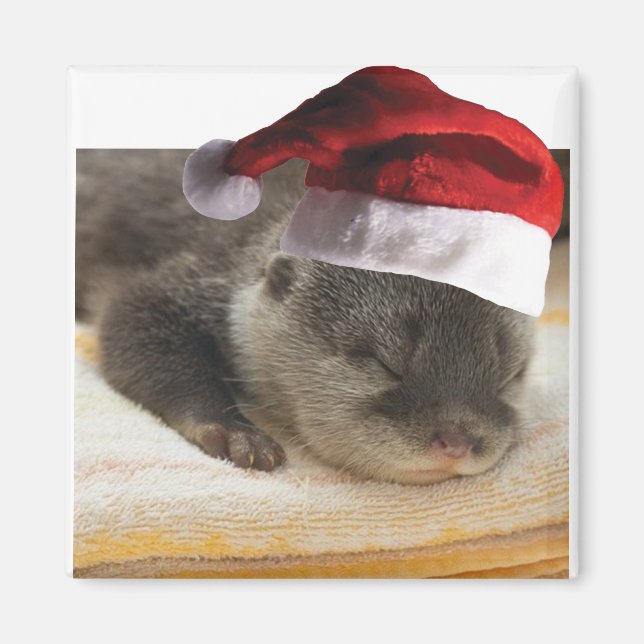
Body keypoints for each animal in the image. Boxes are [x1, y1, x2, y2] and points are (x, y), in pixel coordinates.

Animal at [75, 149, 534, 485]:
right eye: (384, 364)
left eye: (507, 376)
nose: (457, 442)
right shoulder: (196, 272)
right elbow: (130, 318)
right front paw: (235, 431)